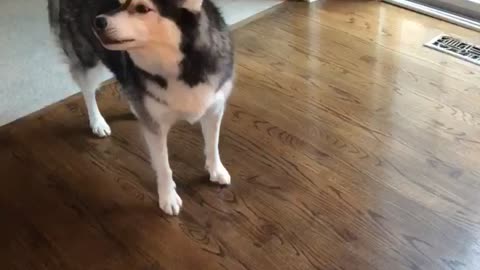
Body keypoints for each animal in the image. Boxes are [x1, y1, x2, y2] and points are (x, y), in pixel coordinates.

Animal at [48, 0, 234, 215]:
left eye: (142, 8)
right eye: (120, 3)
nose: (98, 21)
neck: (182, 68)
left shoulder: (214, 109)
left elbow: (213, 145)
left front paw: (216, 170)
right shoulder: (156, 128)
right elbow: (163, 166)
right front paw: (168, 197)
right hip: (88, 61)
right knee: (88, 92)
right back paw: (97, 122)